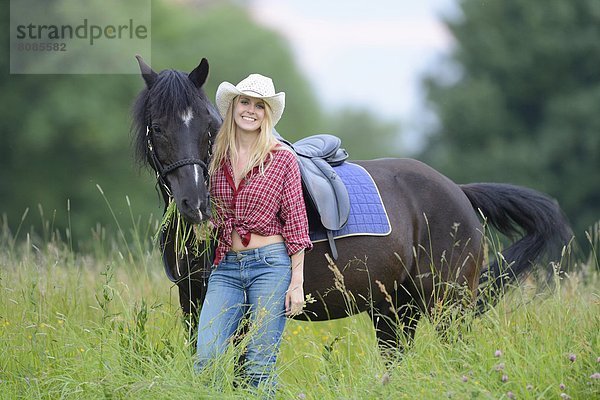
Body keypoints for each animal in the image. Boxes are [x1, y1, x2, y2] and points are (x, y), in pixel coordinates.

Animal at [131, 56, 572, 350]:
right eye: (158, 128)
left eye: (208, 127)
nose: (196, 203)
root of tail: (459, 192)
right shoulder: (194, 302)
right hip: (394, 310)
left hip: (449, 306)